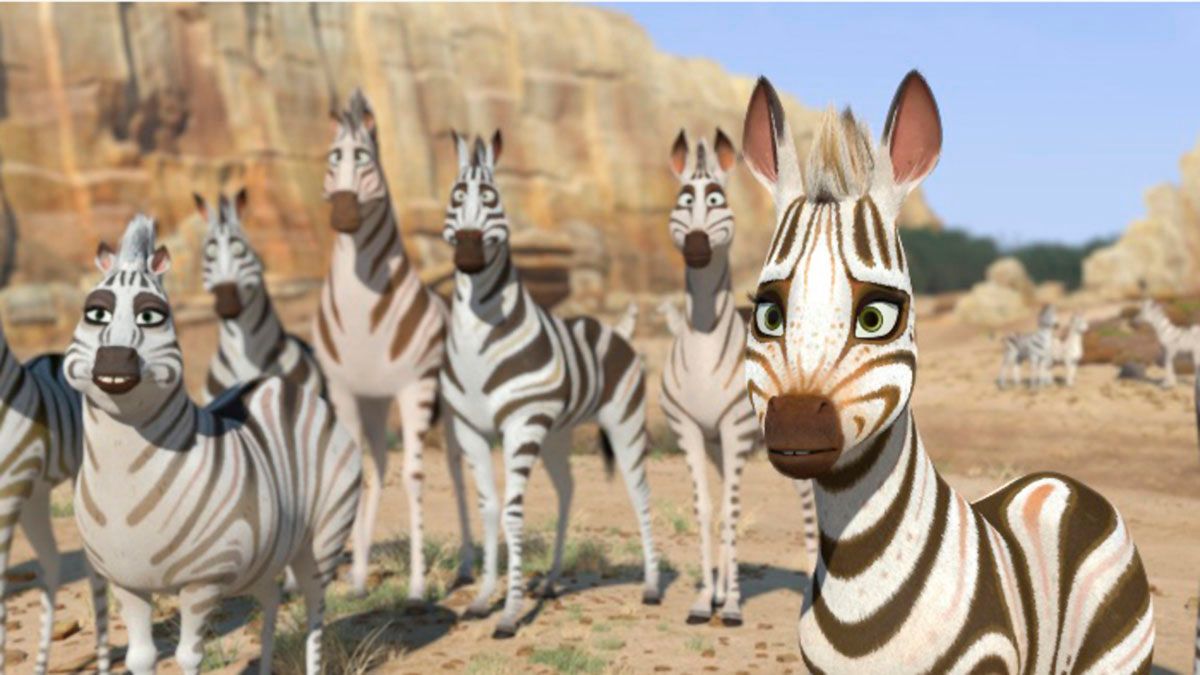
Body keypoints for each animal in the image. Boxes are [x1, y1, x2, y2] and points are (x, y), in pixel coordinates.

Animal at [64, 215, 361, 675]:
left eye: (152, 316)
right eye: (95, 313)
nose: (114, 361)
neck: (122, 483)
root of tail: (282, 385)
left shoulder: (201, 583)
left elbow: (188, 655)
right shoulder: (126, 582)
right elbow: (141, 656)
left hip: (324, 538)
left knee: (315, 609)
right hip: (266, 554)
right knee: (271, 599)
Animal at [317, 89, 448, 599]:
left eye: (365, 158)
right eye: (333, 157)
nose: (343, 214)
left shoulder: (414, 387)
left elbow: (414, 476)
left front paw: (416, 586)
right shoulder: (346, 392)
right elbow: (356, 471)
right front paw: (354, 580)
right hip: (375, 404)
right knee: (376, 462)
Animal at [439, 130, 660, 638]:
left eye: (493, 199)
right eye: (456, 197)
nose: (467, 254)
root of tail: (619, 329)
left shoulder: (521, 423)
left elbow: (512, 512)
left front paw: (509, 613)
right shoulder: (471, 430)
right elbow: (487, 507)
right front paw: (483, 598)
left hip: (625, 422)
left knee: (640, 491)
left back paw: (653, 585)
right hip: (557, 434)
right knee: (567, 491)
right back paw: (553, 580)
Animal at [661, 129, 818, 626]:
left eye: (717, 199)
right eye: (683, 199)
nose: (696, 246)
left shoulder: (732, 428)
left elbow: (731, 513)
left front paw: (729, 605)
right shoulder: (691, 432)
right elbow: (708, 510)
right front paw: (703, 600)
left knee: (809, 505)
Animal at [740, 72, 1154, 672]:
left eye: (876, 316)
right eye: (768, 315)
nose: (794, 421)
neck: (857, 579)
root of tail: (1067, 483)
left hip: (1116, 654)